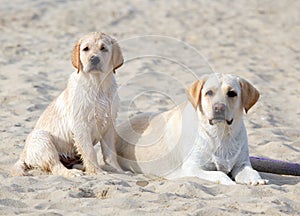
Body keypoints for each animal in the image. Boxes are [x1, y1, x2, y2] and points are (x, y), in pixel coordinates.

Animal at [13, 32, 123, 177]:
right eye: (86, 49)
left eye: (103, 48)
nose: (94, 59)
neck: (97, 85)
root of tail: (23, 155)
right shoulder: (81, 125)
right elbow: (90, 152)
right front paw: (97, 171)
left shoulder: (109, 125)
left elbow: (110, 153)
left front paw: (117, 169)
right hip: (42, 139)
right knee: (56, 166)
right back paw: (73, 173)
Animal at [116, 73, 268, 185]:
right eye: (209, 93)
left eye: (232, 93)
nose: (218, 107)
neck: (221, 133)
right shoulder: (192, 167)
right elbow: (218, 173)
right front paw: (229, 182)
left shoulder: (242, 163)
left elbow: (252, 171)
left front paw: (256, 180)